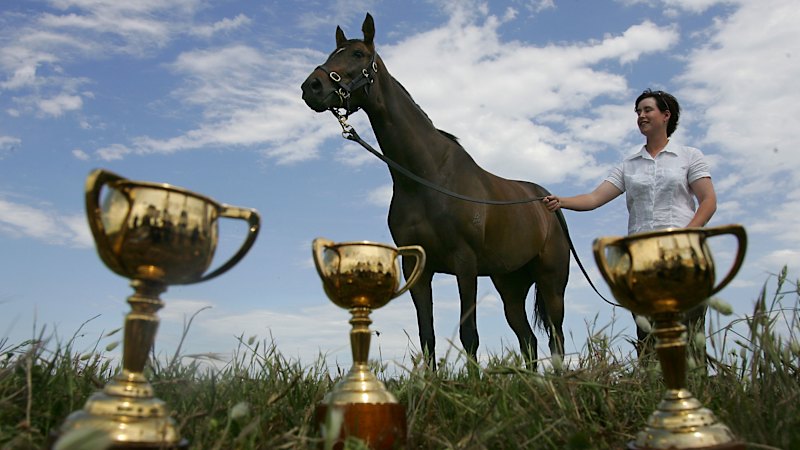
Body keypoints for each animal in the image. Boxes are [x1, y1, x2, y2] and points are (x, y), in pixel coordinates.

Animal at [301, 13, 572, 366]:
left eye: (358, 54)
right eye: (333, 53)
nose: (312, 87)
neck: (427, 178)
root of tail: (548, 204)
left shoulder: (465, 264)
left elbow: (469, 335)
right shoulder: (416, 267)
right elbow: (426, 335)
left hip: (552, 283)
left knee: (556, 338)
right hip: (510, 285)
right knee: (528, 339)